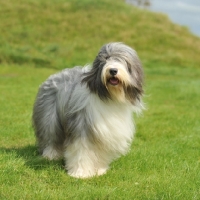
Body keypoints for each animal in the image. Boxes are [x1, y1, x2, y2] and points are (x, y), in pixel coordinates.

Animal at [32, 42, 144, 178]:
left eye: (123, 61)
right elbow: (82, 150)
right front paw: (80, 173)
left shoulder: (105, 131)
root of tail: (53, 76)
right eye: (106, 59)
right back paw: (51, 155)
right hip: (49, 116)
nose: (113, 70)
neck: (109, 97)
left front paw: (99, 170)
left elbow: (99, 151)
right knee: (50, 136)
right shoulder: (82, 125)